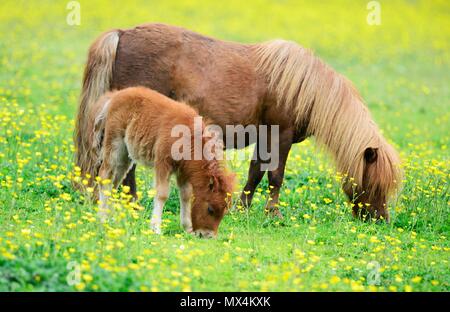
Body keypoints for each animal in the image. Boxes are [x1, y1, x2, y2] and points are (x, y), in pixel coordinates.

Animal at [89, 85, 234, 236]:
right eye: (210, 209)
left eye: (224, 211)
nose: (207, 235)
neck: (189, 137)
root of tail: (114, 97)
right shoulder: (163, 164)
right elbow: (162, 194)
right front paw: (156, 228)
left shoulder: (183, 170)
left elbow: (186, 194)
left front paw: (187, 228)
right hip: (114, 145)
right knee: (105, 175)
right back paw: (102, 218)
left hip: (125, 156)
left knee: (114, 182)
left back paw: (111, 218)